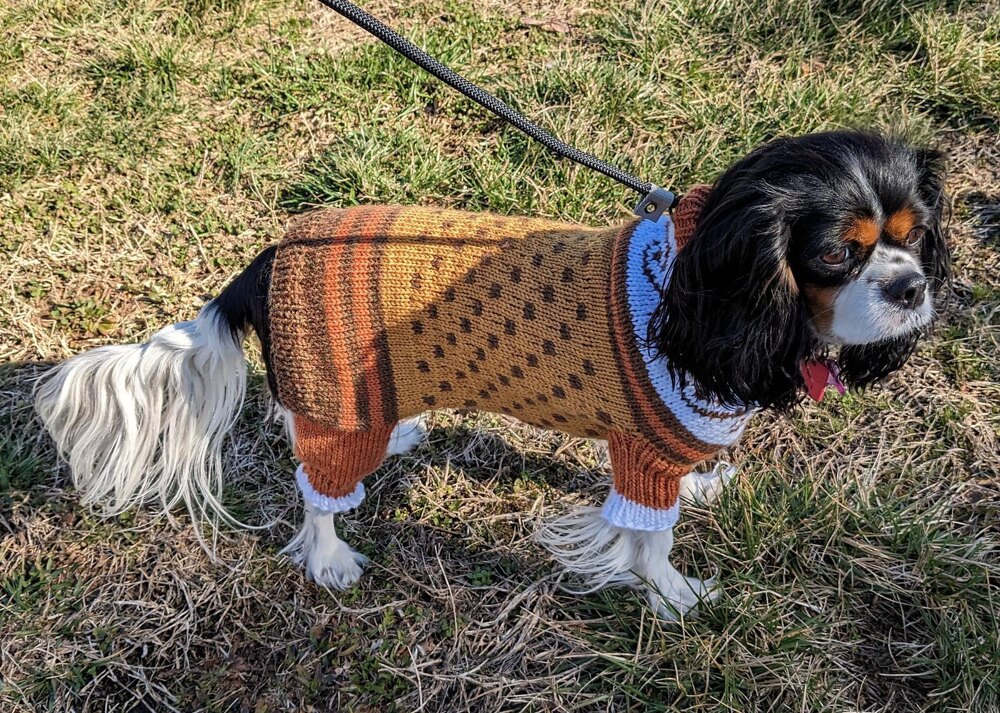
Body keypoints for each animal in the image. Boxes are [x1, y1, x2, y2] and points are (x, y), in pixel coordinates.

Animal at [35, 132, 948, 616]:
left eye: (917, 236)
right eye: (835, 254)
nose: (913, 287)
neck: (703, 286)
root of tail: (271, 256)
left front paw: (702, 489)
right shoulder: (641, 452)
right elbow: (648, 537)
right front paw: (673, 593)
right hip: (336, 410)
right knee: (317, 491)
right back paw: (329, 556)